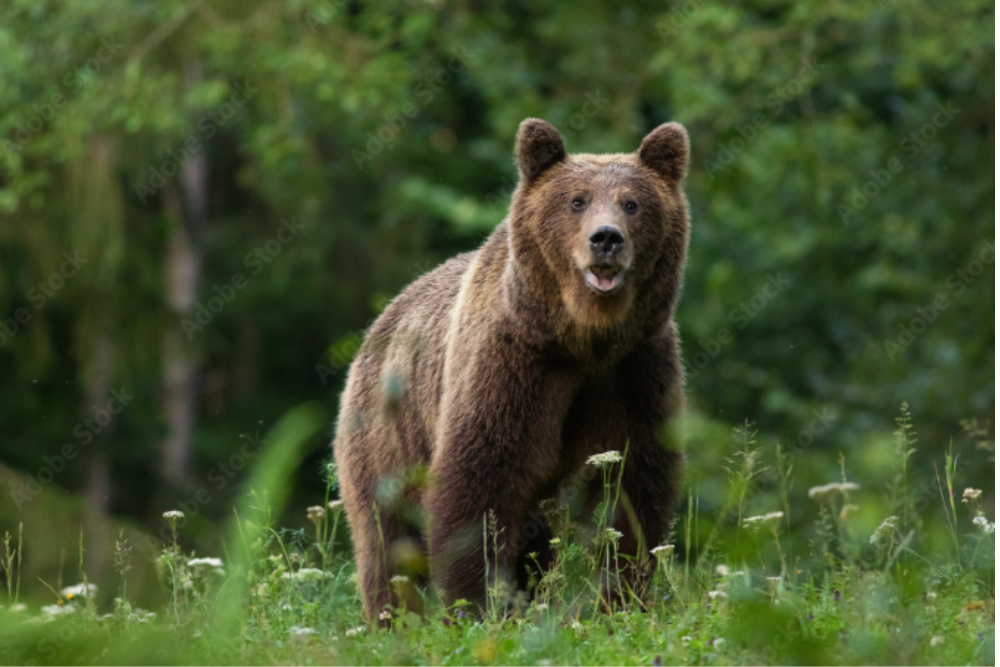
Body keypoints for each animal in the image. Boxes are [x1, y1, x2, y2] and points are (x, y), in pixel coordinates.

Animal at [333, 118, 690, 621]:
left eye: (632, 203)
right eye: (576, 200)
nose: (606, 238)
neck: (582, 339)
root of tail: (379, 323)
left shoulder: (634, 369)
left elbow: (632, 486)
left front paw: (620, 598)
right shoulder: (513, 365)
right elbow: (480, 482)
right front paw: (478, 605)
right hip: (387, 436)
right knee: (388, 540)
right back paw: (394, 618)